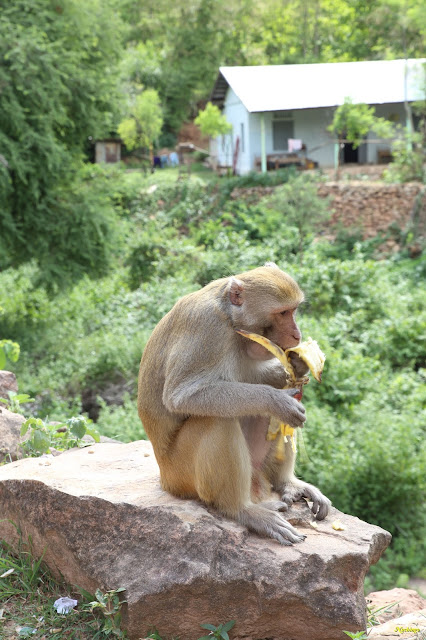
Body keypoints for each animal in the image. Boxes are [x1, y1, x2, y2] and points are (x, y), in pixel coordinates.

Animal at [138, 262, 332, 544]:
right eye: (283, 313)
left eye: (293, 310)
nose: (297, 335)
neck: (232, 323)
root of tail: (165, 479)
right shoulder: (206, 329)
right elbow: (181, 395)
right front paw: (276, 401)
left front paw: (297, 364)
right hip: (181, 473)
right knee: (216, 419)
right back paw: (242, 510)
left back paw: (287, 482)